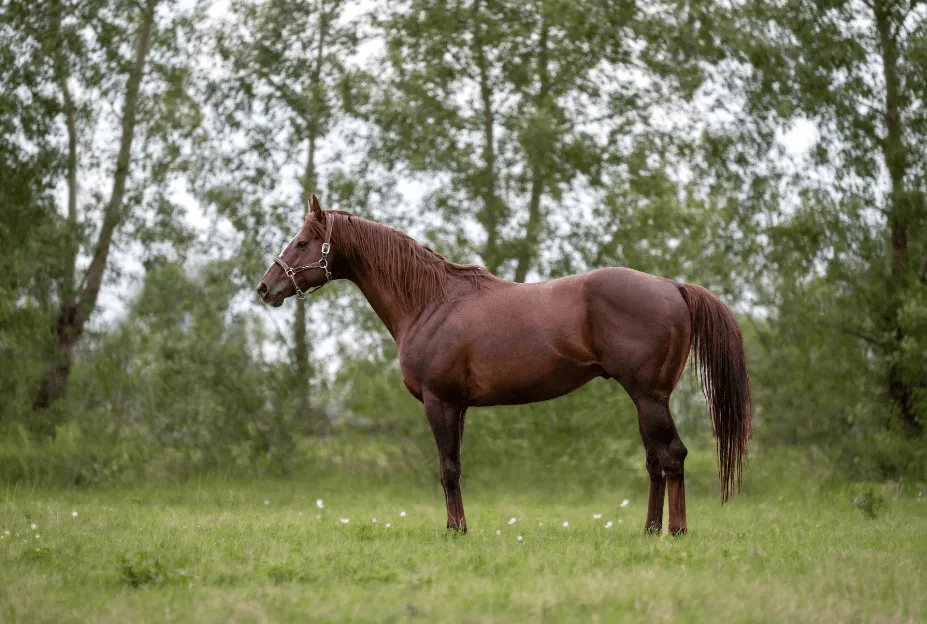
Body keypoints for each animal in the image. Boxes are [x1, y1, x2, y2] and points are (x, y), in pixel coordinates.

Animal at [257, 196, 752, 535]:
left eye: (302, 242)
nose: (265, 288)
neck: (431, 302)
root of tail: (673, 287)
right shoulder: (458, 406)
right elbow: (453, 467)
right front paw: (458, 526)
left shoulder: (439, 402)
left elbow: (448, 469)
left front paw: (456, 531)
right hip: (645, 400)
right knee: (655, 462)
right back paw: (649, 531)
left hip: (649, 397)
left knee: (673, 456)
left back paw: (676, 532)